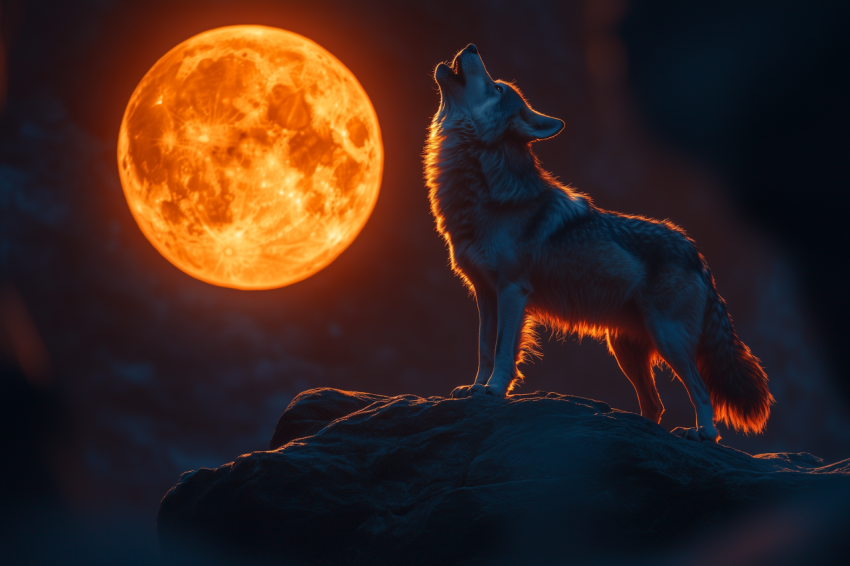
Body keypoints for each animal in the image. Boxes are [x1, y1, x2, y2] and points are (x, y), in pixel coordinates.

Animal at [424, 44, 773, 442]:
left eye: (498, 88)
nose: (471, 47)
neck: (480, 190)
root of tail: (696, 253)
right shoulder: (484, 293)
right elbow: (484, 347)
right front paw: (475, 388)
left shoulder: (512, 290)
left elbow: (502, 351)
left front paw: (494, 390)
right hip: (623, 348)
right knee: (655, 405)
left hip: (668, 341)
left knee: (700, 391)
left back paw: (702, 433)